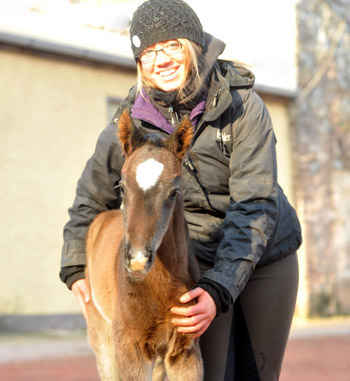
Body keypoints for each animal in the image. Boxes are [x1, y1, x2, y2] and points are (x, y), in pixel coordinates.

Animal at [85, 110, 204, 380]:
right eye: (121, 187)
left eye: (173, 192)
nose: (138, 260)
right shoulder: (130, 351)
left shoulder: (185, 351)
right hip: (102, 337)